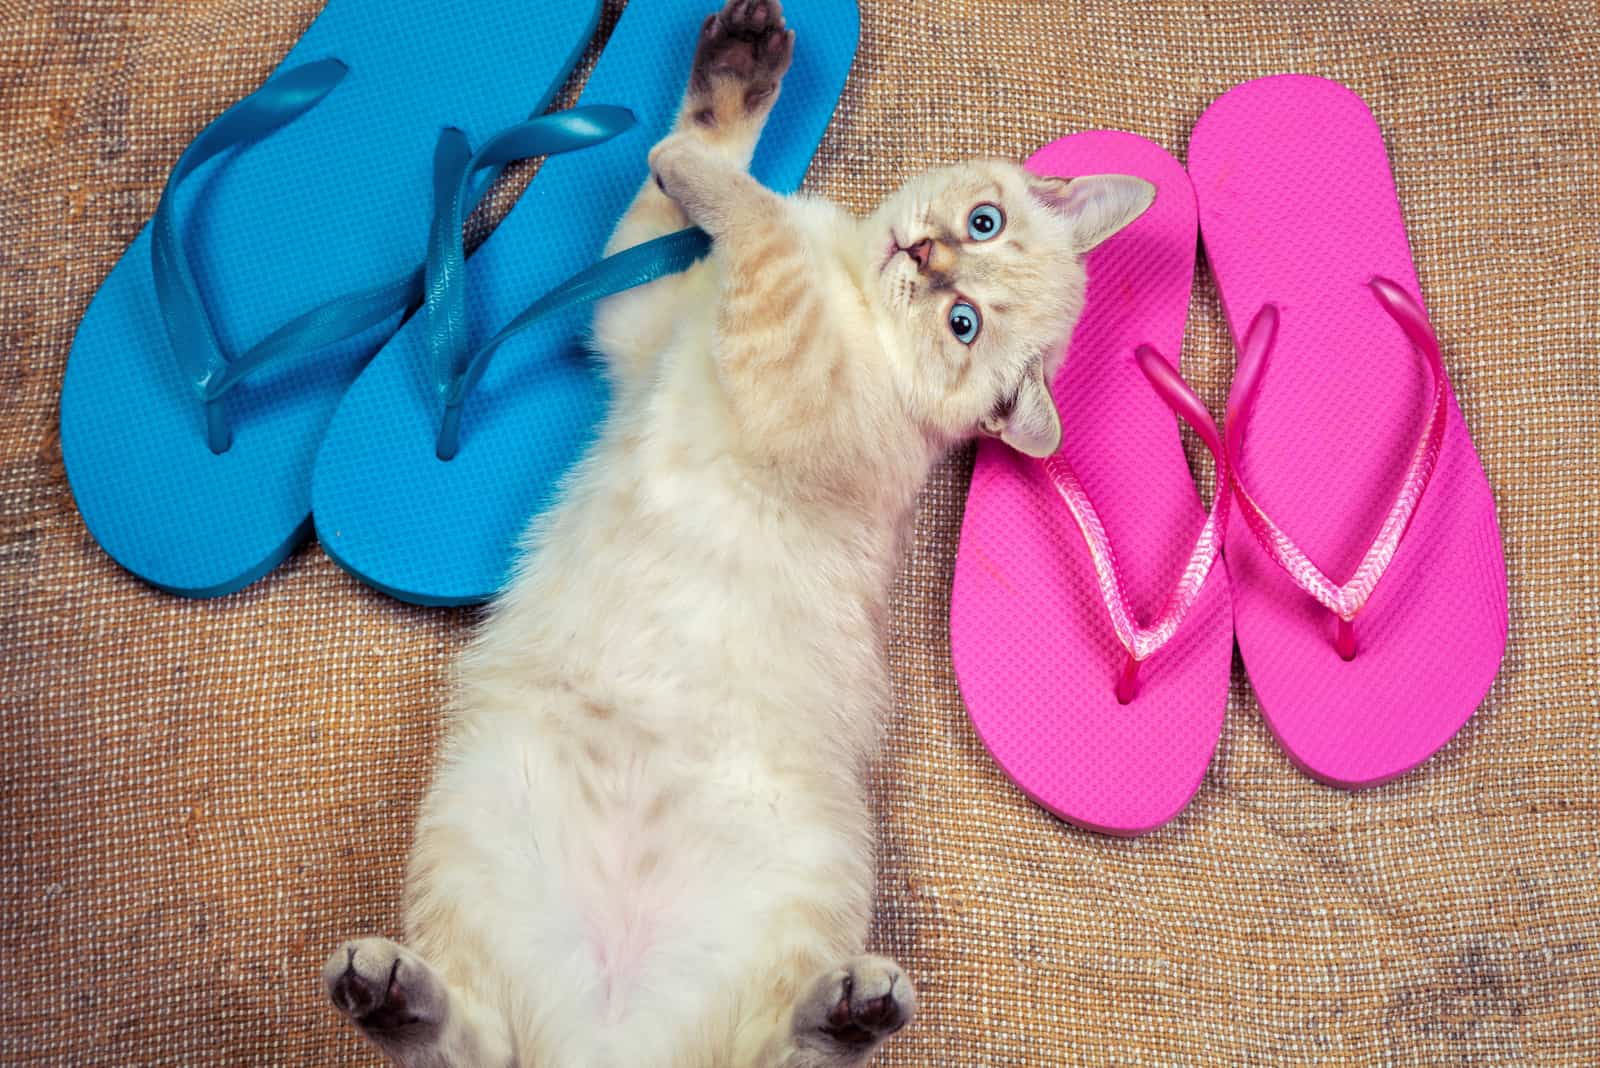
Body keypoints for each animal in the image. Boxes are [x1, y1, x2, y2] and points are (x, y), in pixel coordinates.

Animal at [324, 4, 1152, 1061]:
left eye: (964, 323)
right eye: (983, 223)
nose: (927, 258)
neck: (852, 298)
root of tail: (612, 1040)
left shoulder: (793, 372)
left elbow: (759, 227)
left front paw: (724, 179)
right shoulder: (639, 316)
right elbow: (686, 192)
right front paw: (737, 71)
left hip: (810, 869)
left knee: (759, 1049)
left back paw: (851, 1010)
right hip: (478, 816)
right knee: (476, 1042)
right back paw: (388, 990)